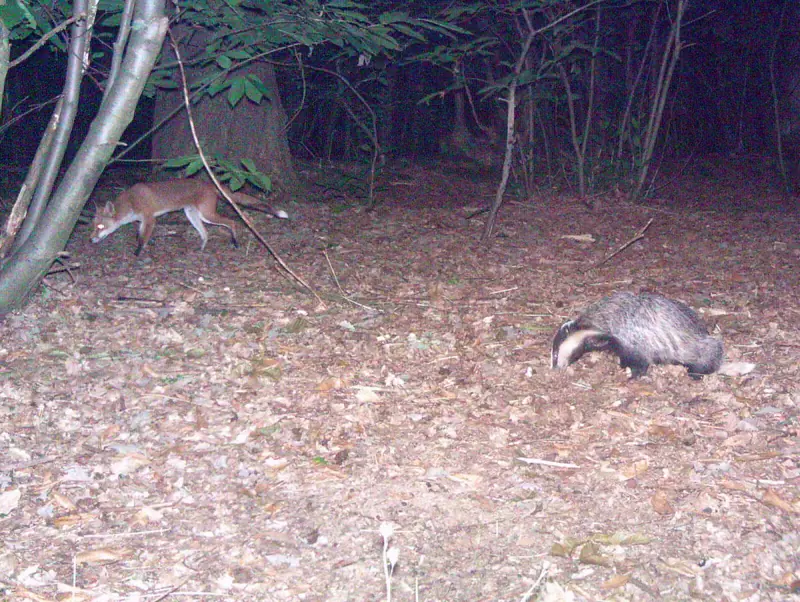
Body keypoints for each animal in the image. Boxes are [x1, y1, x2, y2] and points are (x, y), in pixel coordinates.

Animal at [90, 178, 288, 256]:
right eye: (93, 227)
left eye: (100, 227)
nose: (91, 240)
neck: (131, 201)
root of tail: (209, 183)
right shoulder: (142, 221)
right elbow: (138, 235)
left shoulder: (149, 218)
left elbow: (142, 239)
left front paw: (137, 254)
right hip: (193, 215)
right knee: (206, 233)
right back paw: (201, 249)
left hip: (207, 214)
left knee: (231, 222)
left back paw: (235, 242)